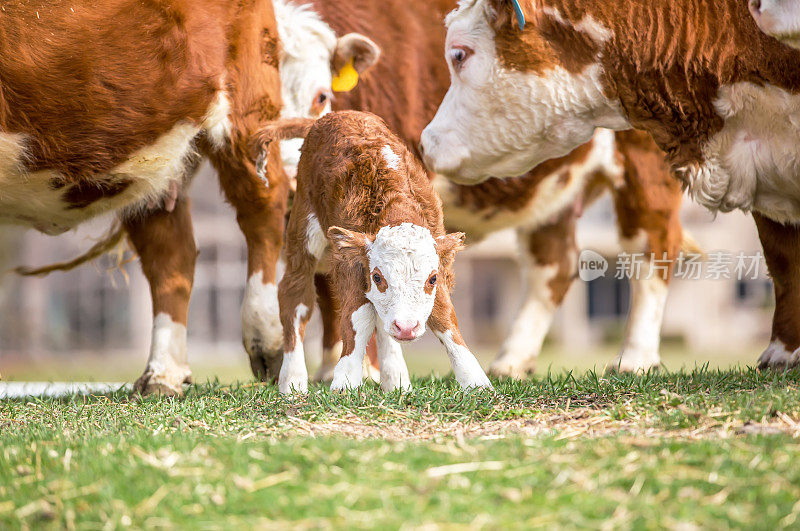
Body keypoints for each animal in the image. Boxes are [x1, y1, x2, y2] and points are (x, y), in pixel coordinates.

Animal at [1, 0, 290, 394]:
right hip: (154, 158)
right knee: (171, 254)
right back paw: (163, 374)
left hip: (247, 103)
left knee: (264, 208)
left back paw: (267, 341)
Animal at [255, 112, 494, 394]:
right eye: (378, 277)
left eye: (432, 278)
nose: (406, 327)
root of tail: (333, 116)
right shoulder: (350, 263)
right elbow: (358, 315)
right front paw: (346, 380)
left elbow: (444, 314)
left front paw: (475, 380)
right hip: (303, 224)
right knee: (295, 294)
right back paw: (292, 381)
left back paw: (396, 380)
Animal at [272, 1, 692, 382]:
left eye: (321, 93)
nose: (287, 174)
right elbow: (347, 301)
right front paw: (341, 373)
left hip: (646, 162)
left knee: (650, 245)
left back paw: (633, 360)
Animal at [418, 0, 800, 370]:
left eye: (458, 55)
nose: (426, 142)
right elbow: (782, 254)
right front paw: (783, 353)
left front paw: (782, 355)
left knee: (650, 247)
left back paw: (632, 359)